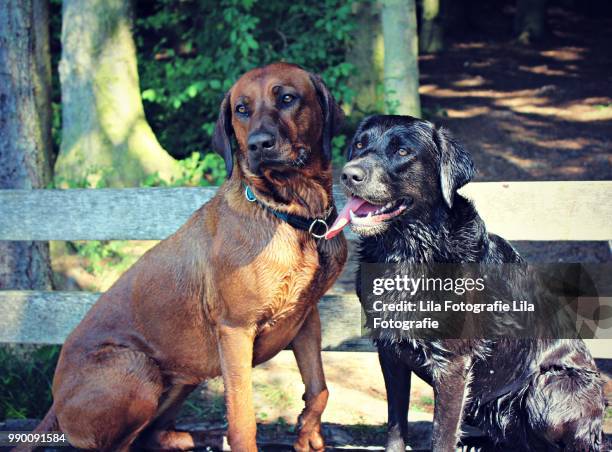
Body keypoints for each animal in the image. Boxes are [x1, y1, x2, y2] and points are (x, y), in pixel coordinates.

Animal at [23, 64, 346, 452]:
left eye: (287, 98)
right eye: (241, 109)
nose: (258, 144)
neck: (293, 214)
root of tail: (55, 406)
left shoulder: (306, 316)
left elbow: (319, 389)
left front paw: (308, 434)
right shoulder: (236, 330)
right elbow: (242, 421)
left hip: (183, 378)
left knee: (149, 435)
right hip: (137, 368)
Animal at [328, 115, 604, 452]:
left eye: (403, 151)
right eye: (359, 144)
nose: (348, 174)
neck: (409, 251)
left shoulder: (453, 364)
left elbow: (442, 435)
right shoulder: (390, 352)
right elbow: (395, 426)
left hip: (551, 387)